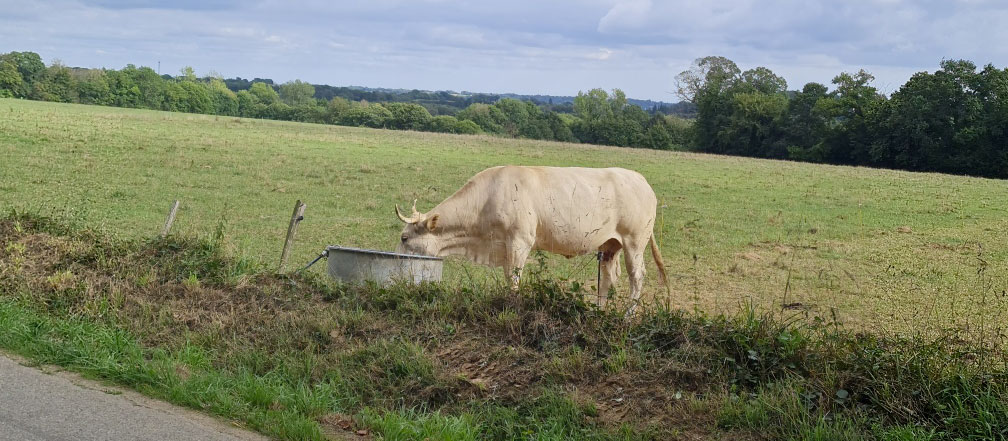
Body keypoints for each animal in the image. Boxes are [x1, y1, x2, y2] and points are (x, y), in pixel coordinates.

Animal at [393, 164, 669, 314]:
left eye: (404, 237)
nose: (396, 259)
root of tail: (640, 179)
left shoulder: (519, 241)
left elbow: (514, 278)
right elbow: (508, 277)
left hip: (634, 241)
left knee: (637, 277)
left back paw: (628, 315)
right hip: (611, 244)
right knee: (608, 278)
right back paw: (600, 310)